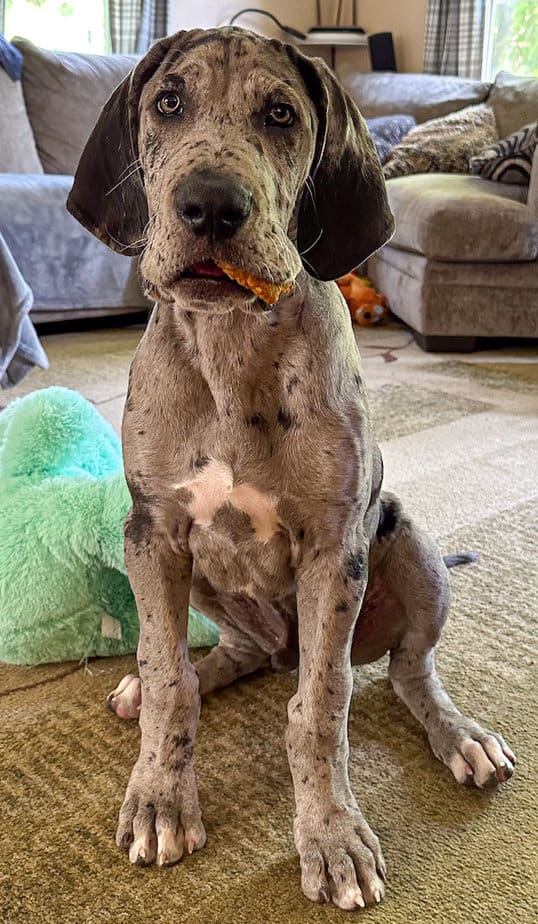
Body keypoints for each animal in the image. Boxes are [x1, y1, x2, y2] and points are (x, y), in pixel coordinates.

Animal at [68, 27, 516, 908]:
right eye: (167, 102)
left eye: (281, 115)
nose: (209, 207)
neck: (233, 343)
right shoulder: (153, 533)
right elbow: (167, 675)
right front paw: (159, 798)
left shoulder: (333, 552)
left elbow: (323, 707)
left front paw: (332, 836)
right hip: (200, 579)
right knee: (222, 658)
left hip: (410, 547)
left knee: (408, 673)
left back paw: (461, 737)